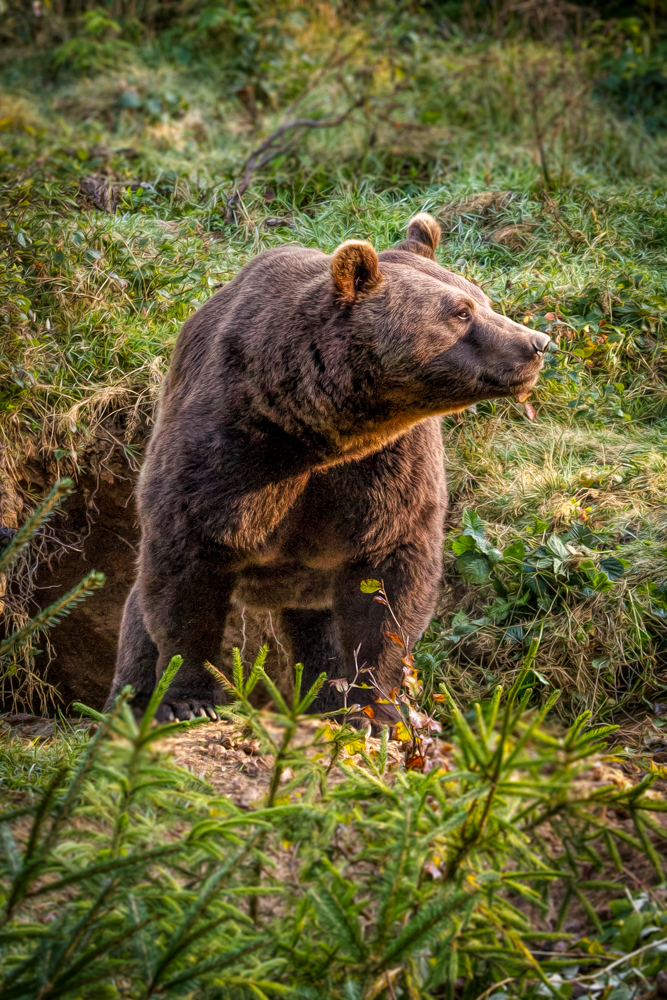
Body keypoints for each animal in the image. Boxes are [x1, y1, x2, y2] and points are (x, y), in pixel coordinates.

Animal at [107, 215, 552, 724]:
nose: (538, 343)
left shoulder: (388, 466)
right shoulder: (231, 449)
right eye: (460, 312)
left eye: (483, 299)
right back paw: (132, 699)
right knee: (139, 615)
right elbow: (188, 565)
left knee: (317, 637)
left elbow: (389, 582)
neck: (317, 431)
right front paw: (189, 698)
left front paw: (376, 710)